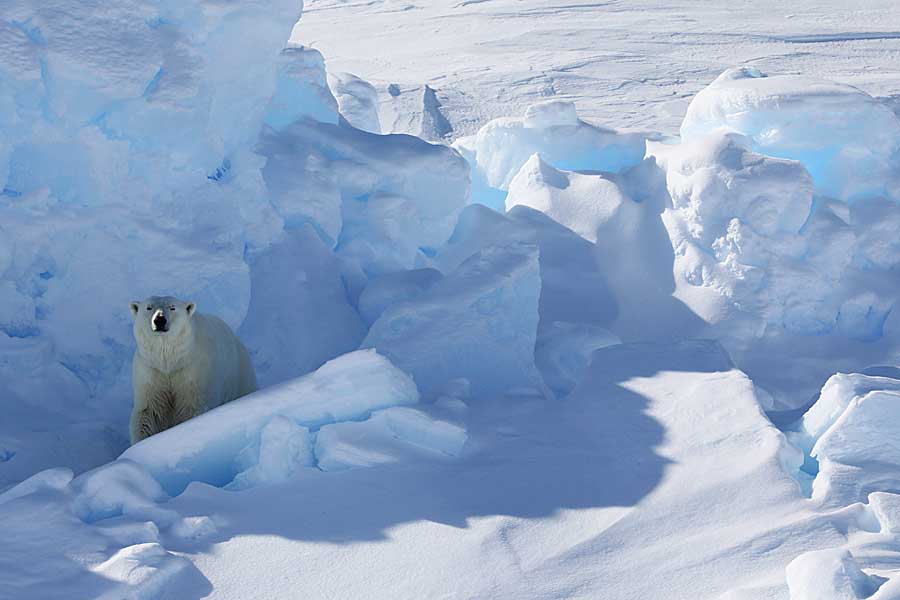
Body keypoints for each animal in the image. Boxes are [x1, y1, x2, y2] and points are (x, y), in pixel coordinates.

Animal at [126, 296, 255, 446]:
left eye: (172, 307)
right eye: (149, 307)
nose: (160, 320)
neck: (170, 361)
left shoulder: (194, 370)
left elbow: (193, 407)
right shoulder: (151, 371)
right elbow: (149, 412)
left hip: (241, 377)